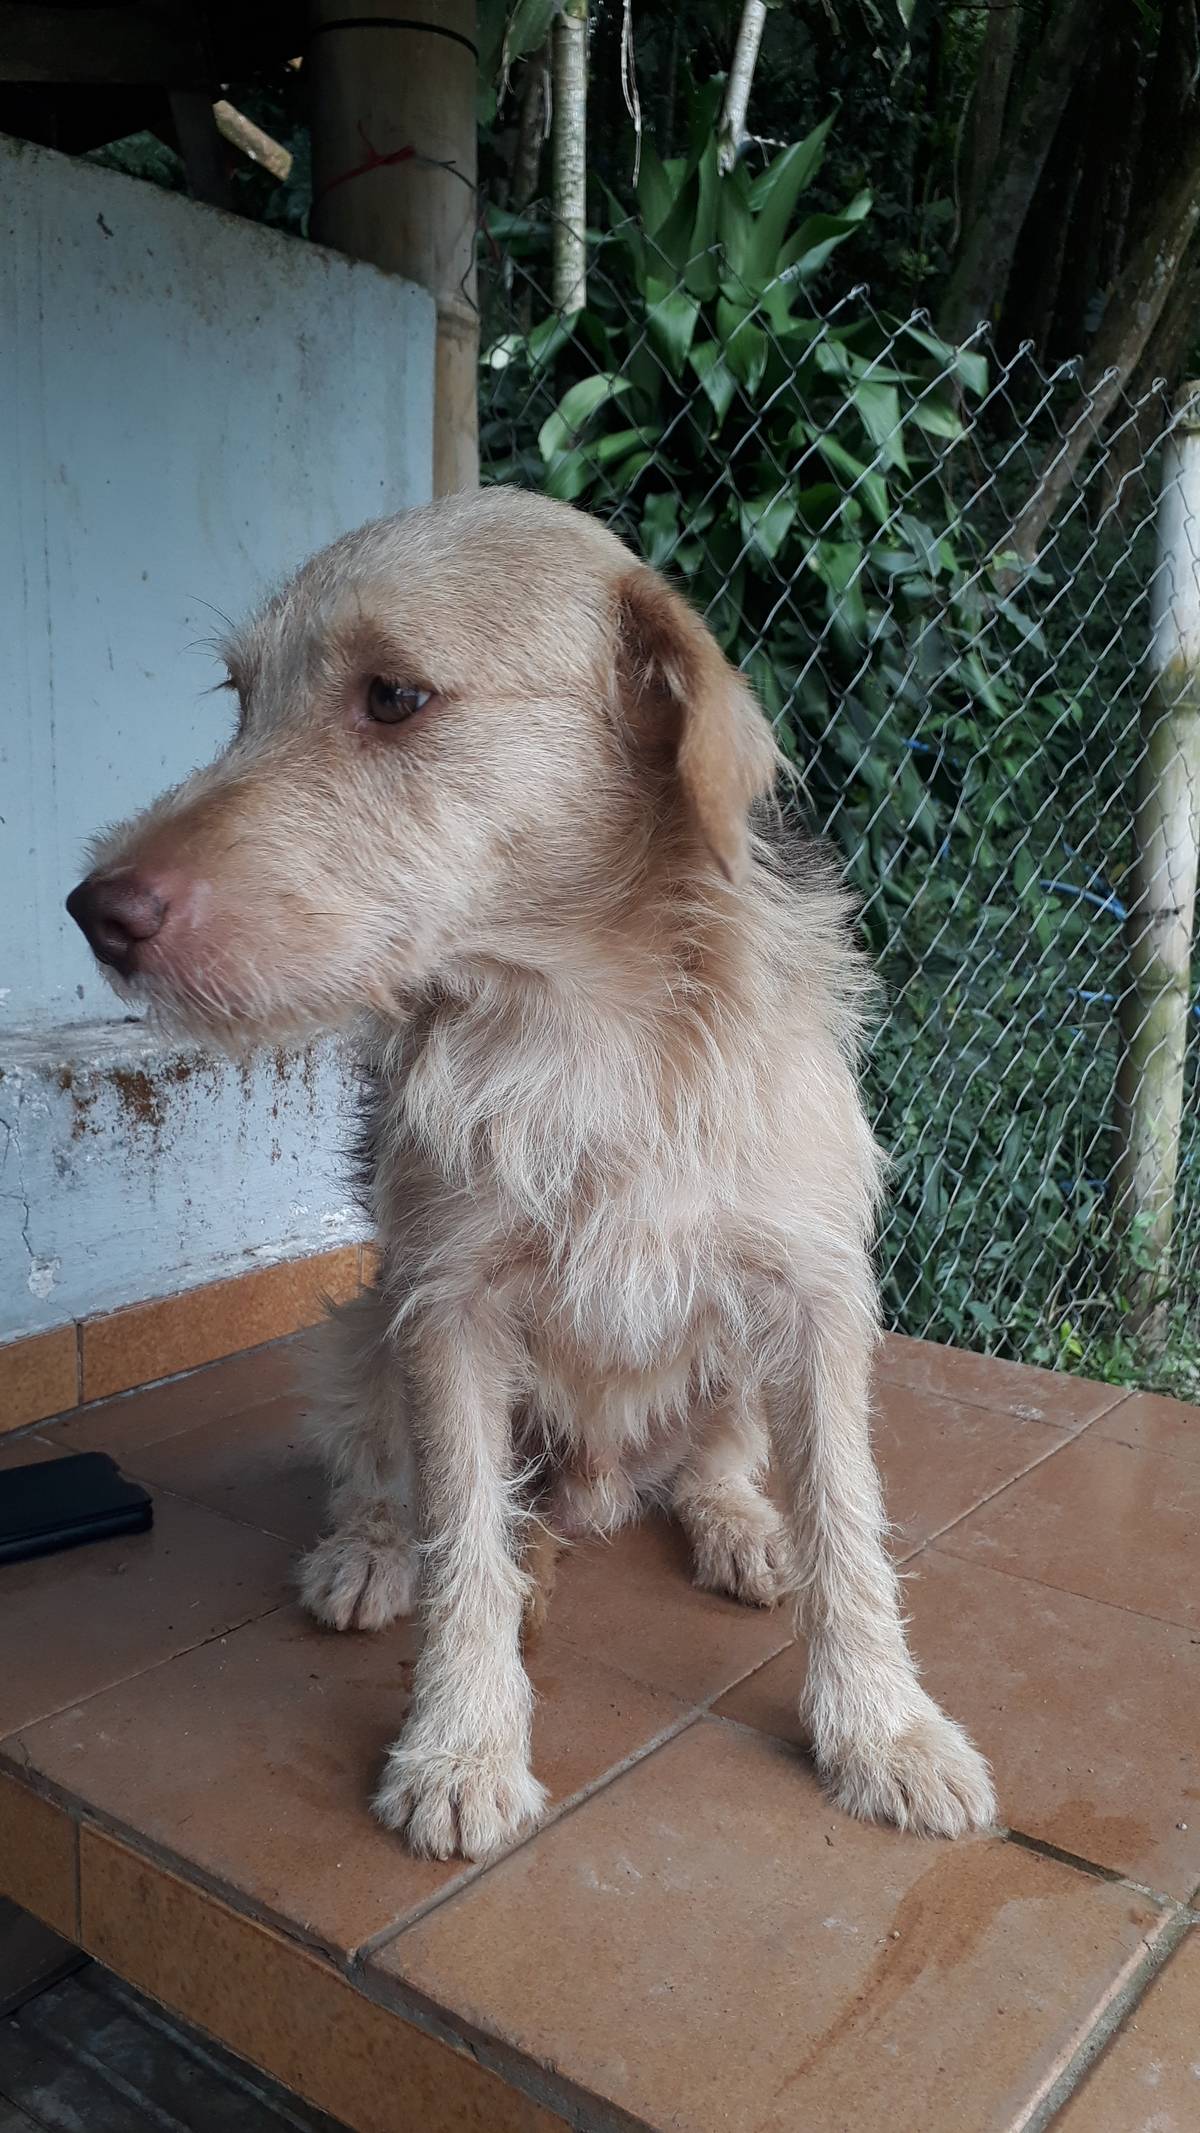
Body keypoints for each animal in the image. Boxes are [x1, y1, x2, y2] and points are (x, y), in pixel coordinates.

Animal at [66, 487, 995, 1860]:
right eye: (238, 699)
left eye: (395, 696)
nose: (94, 912)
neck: (584, 1023)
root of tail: (596, 1494)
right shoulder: (446, 1307)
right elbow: (467, 1539)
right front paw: (461, 1742)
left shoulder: (817, 1293)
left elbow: (849, 1522)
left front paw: (883, 1730)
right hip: (362, 1326)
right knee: (384, 1471)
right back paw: (368, 1554)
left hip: (732, 1353)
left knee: (714, 1464)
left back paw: (740, 1528)